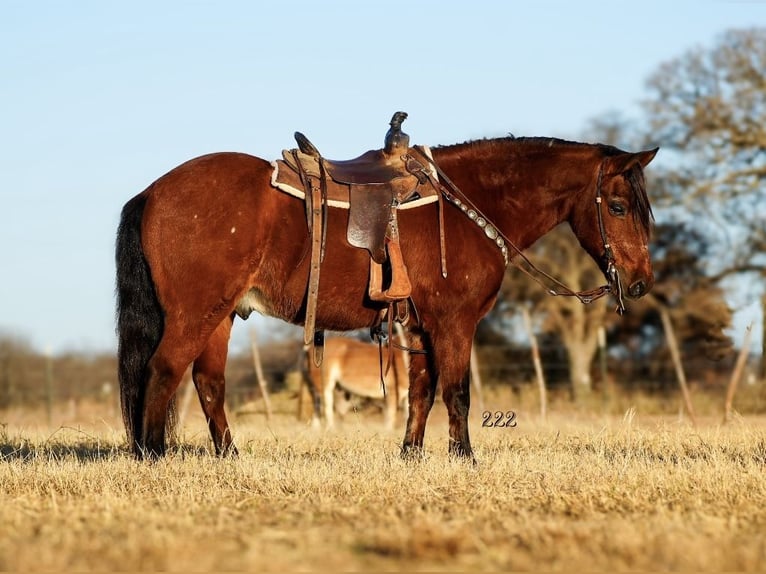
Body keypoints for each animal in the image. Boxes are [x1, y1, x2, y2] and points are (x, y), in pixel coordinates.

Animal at [115, 128, 660, 462]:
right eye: (617, 206)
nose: (640, 282)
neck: (467, 206)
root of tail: (153, 192)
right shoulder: (454, 322)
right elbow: (456, 391)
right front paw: (464, 458)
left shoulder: (419, 327)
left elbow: (421, 392)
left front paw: (411, 454)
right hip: (195, 314)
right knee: (163, 370)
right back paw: (152, 456)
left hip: (222, 315)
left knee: (208, 383)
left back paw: (229, 456)